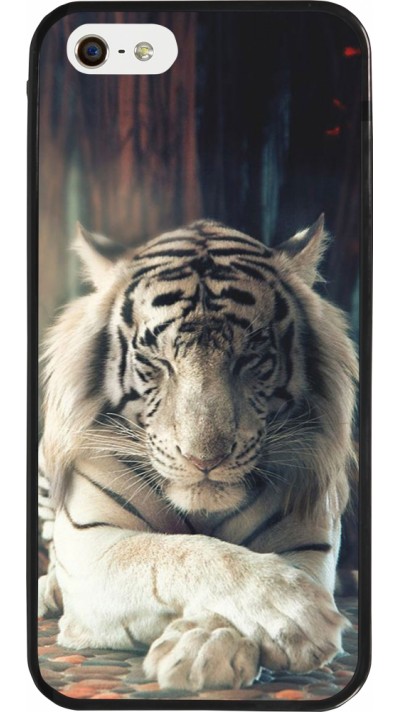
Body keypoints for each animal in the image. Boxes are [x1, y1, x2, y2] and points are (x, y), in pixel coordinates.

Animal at [38, 215, 358, 692]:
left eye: (251, 357)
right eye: (157, 361)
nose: (204, 460)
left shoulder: (307, 542)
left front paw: (206, 646)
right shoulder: (92, 543)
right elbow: (180, 552)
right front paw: (293, 612)